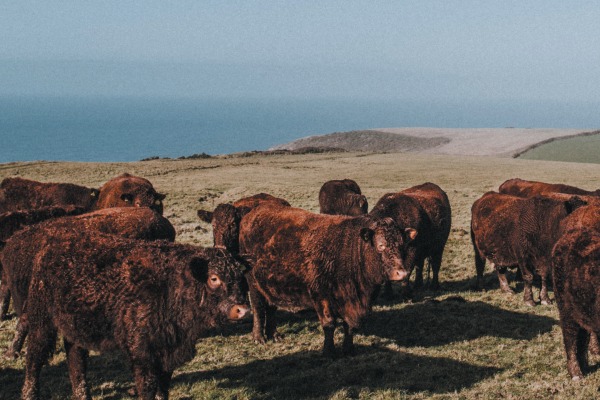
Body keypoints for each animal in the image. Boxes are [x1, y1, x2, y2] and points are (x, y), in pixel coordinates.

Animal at [19, 230, 248, 400]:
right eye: (214, 278)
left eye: (241, 277)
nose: (242, 309)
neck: (171, 285)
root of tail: (50, 247)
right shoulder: (142, 353)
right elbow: (147, 386)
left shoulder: (166, 351)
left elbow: (163, 387)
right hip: (41, 321)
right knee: (34, 358)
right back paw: (29, 394)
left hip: (75, 327)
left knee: (76, 359)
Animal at [237, 205, 414, 358]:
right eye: (381, 245)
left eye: (402, 245)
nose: (401, 273)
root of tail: (253, 214)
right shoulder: (321, 296)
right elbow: (329, 324)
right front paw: (329, 352)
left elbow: (349, 327)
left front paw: (349, 349)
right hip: (254, 283)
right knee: (259, 308)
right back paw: (259, 337)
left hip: (271, 285)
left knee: (271, 307)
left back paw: (274, 334)